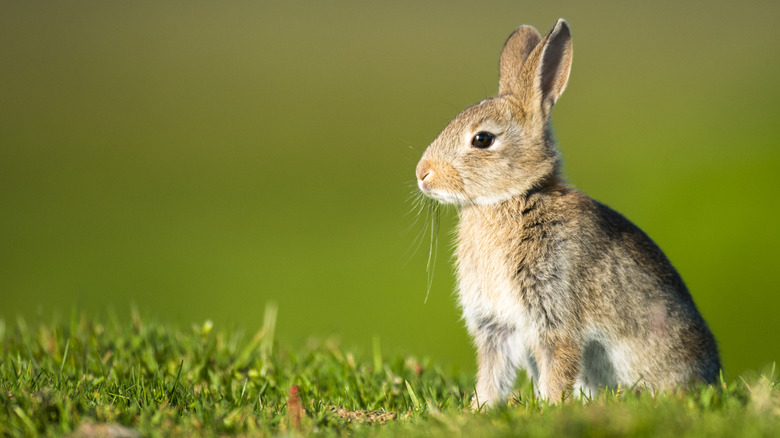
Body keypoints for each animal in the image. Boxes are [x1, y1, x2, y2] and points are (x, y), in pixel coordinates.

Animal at [414, 18, 720, 408]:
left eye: (482, 139)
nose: (422, 173)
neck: (514, 198)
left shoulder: (555, 313)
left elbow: (557, 366)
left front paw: (550, 407)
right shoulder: (496, 326)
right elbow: (492, 374)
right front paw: (480, 409)